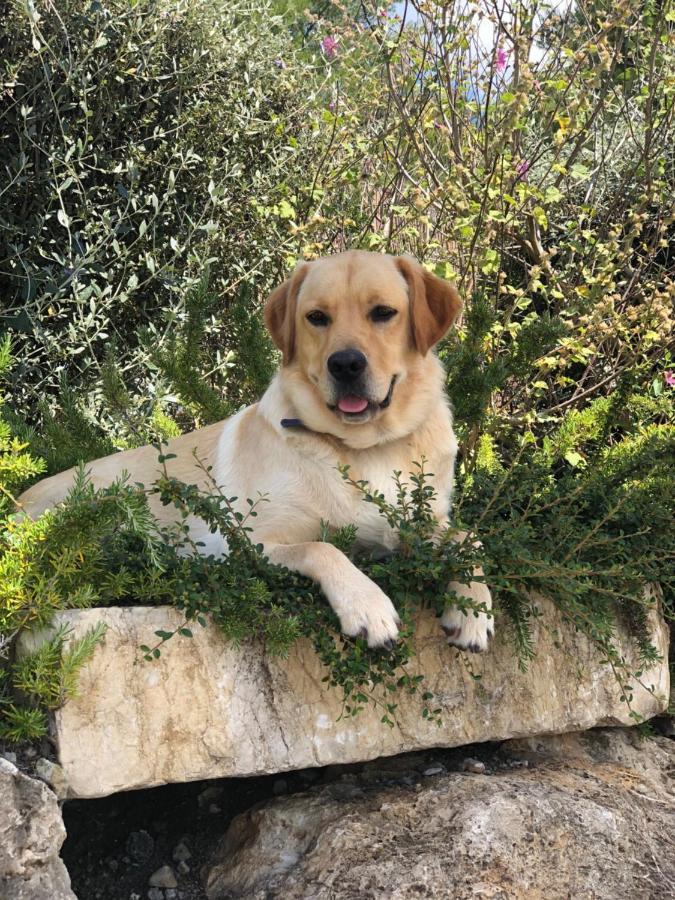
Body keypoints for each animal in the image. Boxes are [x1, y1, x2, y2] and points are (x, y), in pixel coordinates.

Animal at [18, 253, 494, 652]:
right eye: (316, 318)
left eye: (383, 313)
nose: (345, 365)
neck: (364, 447)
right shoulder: (245, 544)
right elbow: (322, 548)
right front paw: (366, 604)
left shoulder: (421, 525)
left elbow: (470, 538)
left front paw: (473, 609)